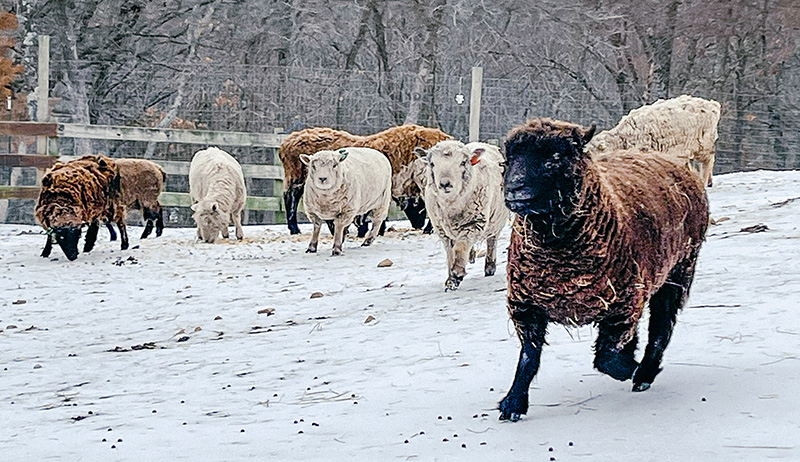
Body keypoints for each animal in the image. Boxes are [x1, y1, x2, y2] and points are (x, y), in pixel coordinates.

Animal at [279, 124, 452, 234]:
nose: (418, 224)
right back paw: (294, 229)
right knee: (290, 198)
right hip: (295, 178)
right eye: (418, 207)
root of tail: (287, 143)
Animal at [415, 140, 509, 291]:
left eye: (463, 162)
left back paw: (489, 267)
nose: (445, 184)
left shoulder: (475, 224)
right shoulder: (442, 231)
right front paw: (450, 280)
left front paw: (457, 274)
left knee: (492, 241)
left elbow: (460, 247)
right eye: (432, 164)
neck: (452, 205)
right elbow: (450, 253)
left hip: (497, 221)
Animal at [498, 118, 708, 422]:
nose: (514, 189)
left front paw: (634, 369)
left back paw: (644, 372)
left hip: (678, 271)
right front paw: (514, 402)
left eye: (555, 157)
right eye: (508, 159)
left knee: (661, 327)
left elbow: (606, 358)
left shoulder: (622, 304)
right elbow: (529, 356)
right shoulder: (527, 306)